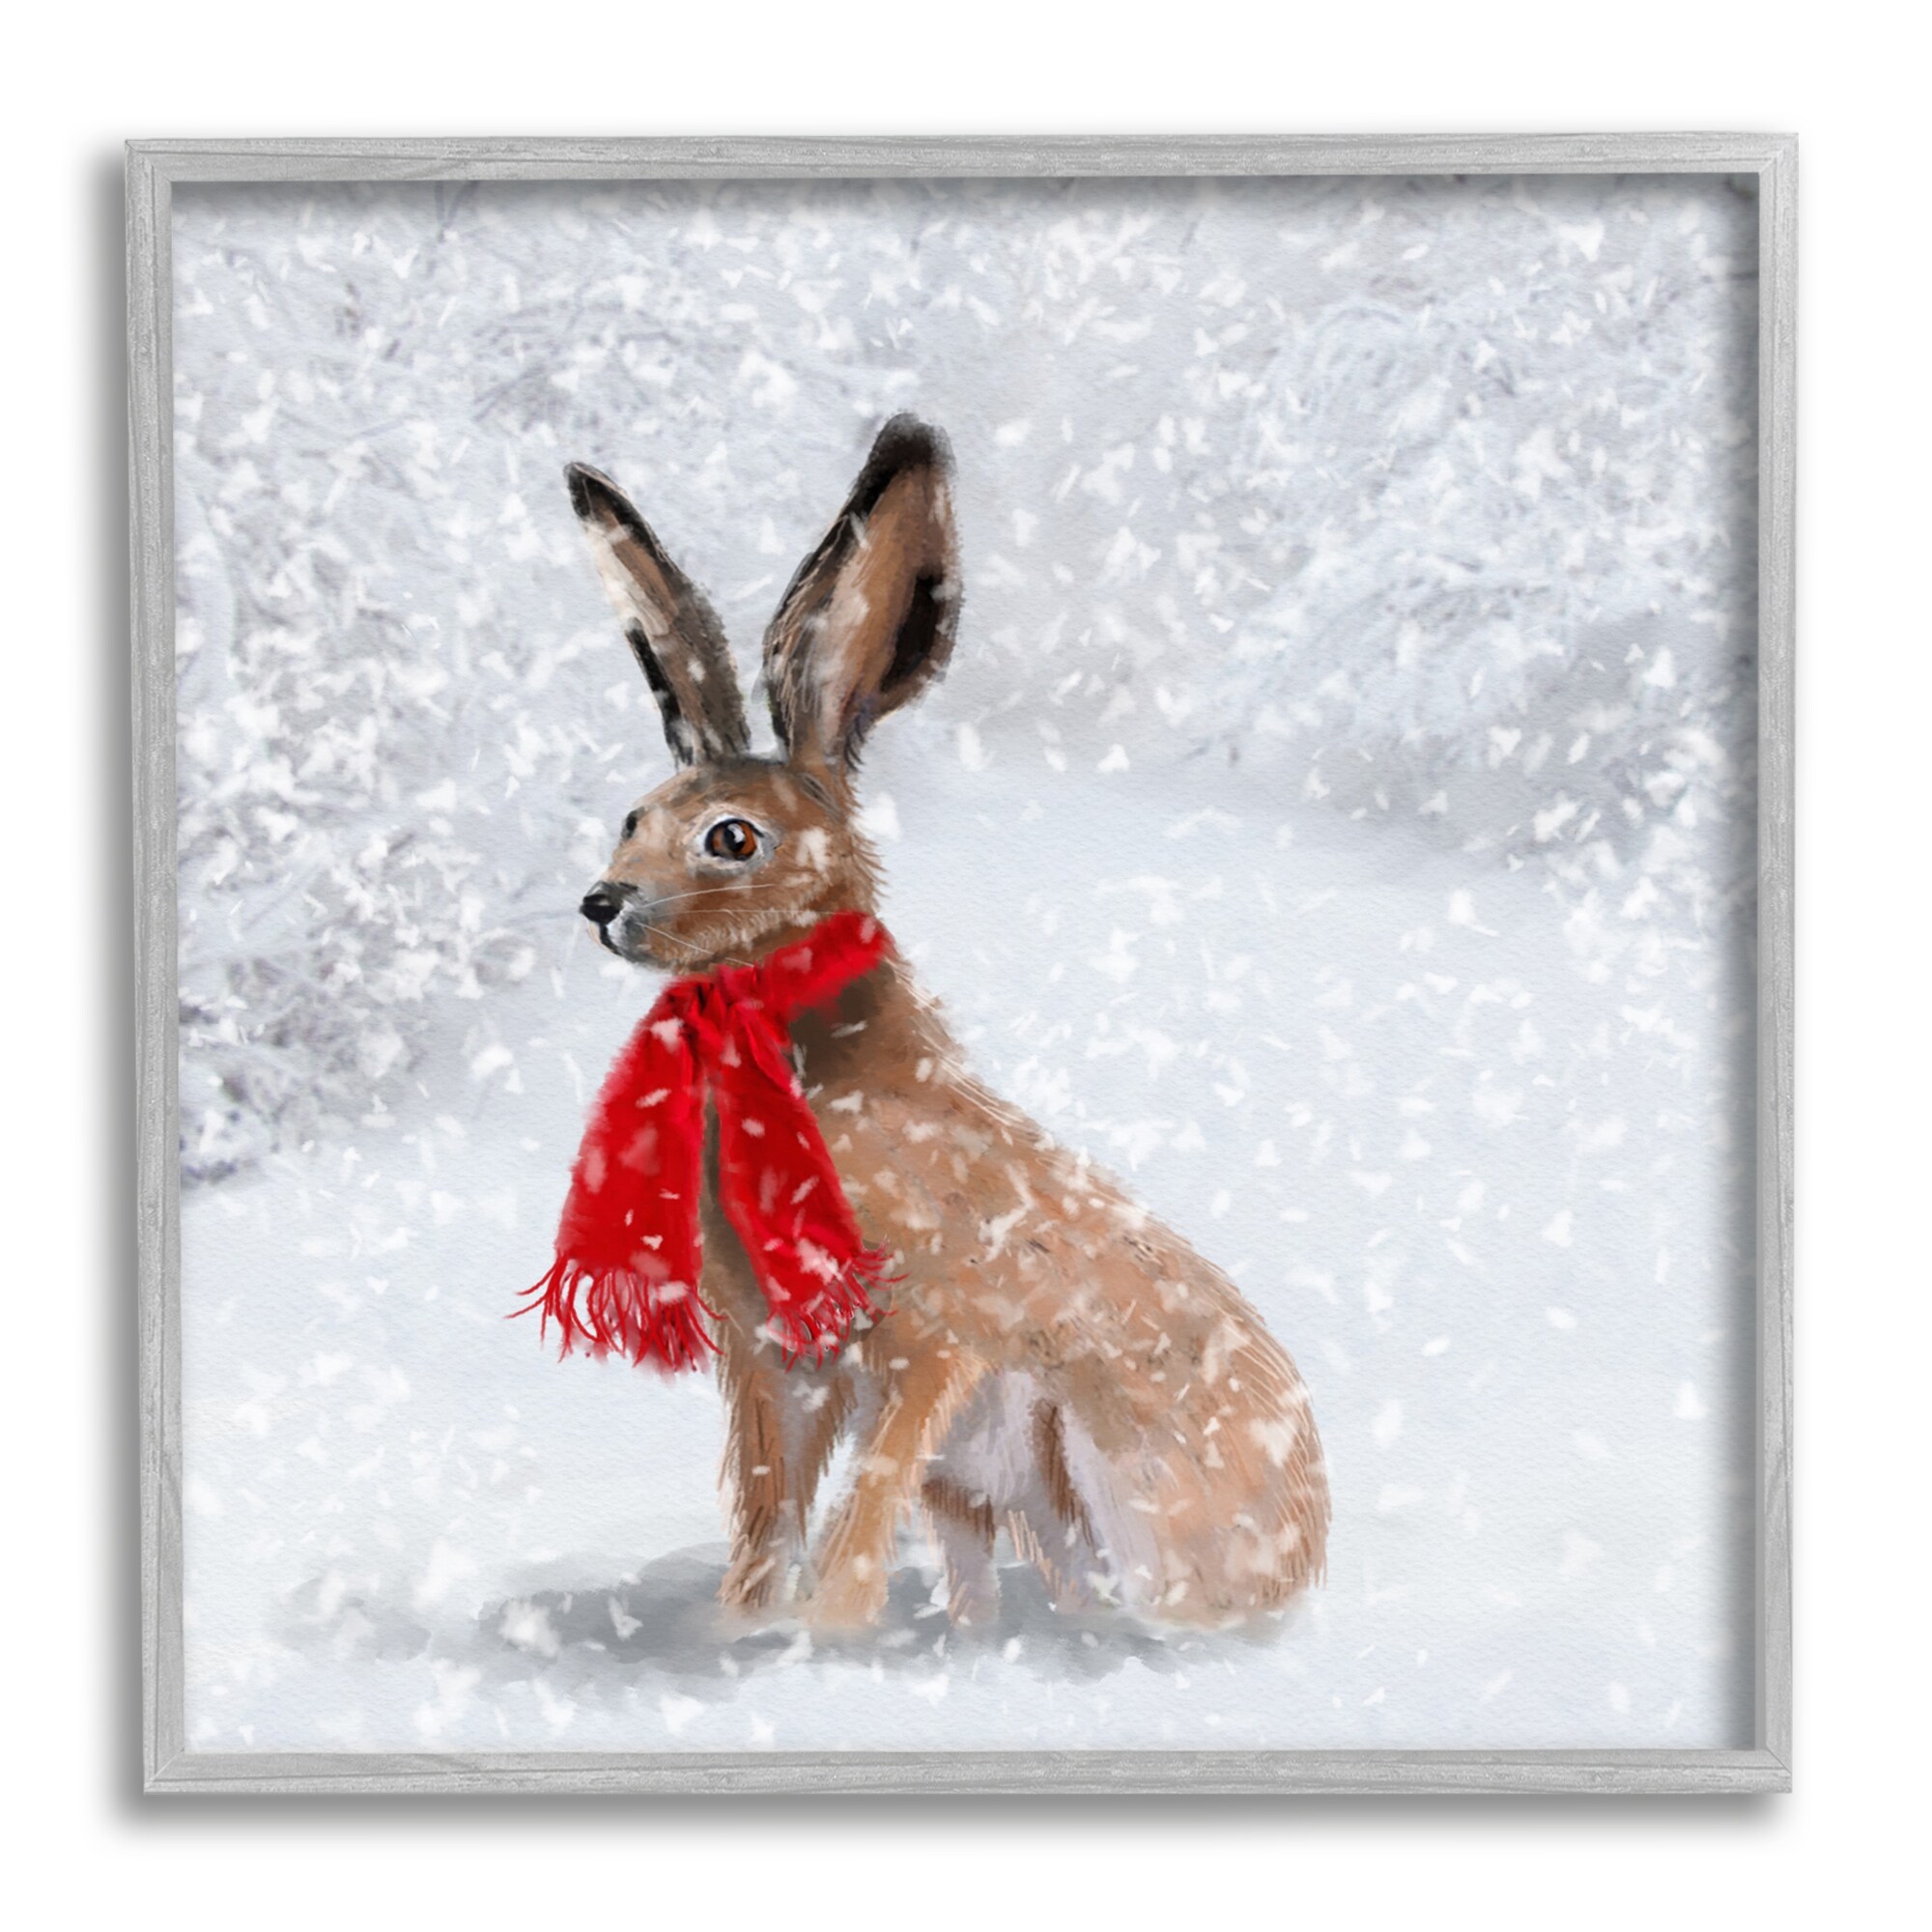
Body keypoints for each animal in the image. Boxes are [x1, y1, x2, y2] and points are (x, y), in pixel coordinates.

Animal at [562, 414, 1329, 1630]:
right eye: (631, 816)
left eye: (730, 838)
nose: (602, 901)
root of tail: (1308, 1557)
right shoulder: (773, 1365)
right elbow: (768, 1510)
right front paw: (748, 1626)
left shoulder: (932, 1343)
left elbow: (856, 1512)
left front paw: (820, 1634)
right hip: (986, 1500)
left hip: (1090, 1463)